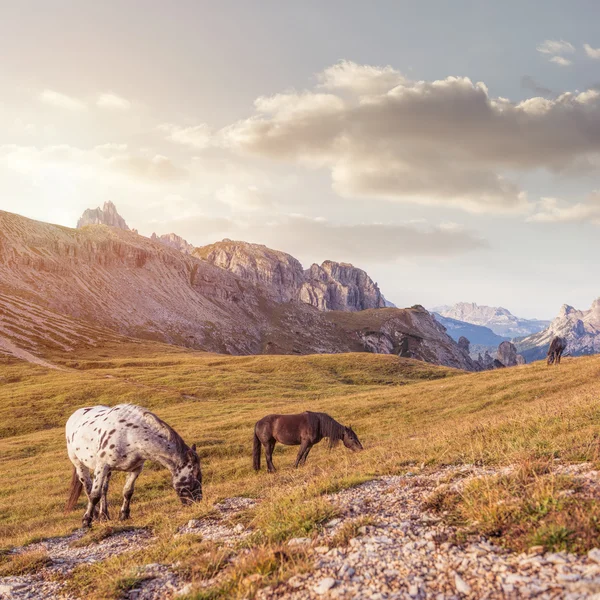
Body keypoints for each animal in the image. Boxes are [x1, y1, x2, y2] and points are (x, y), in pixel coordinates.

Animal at [64, 406, 203, 528]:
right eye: (195, 477)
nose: (198, 502)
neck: (129, 435)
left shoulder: (135, 469)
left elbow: (128, 492)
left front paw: (124, 515)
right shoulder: (102, 466)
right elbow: (94, 495)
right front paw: (86, 521)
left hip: (108, 472)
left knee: (104, 489)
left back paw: (104, 515)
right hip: (80, 464)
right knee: (88, 488)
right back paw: (96, 515)